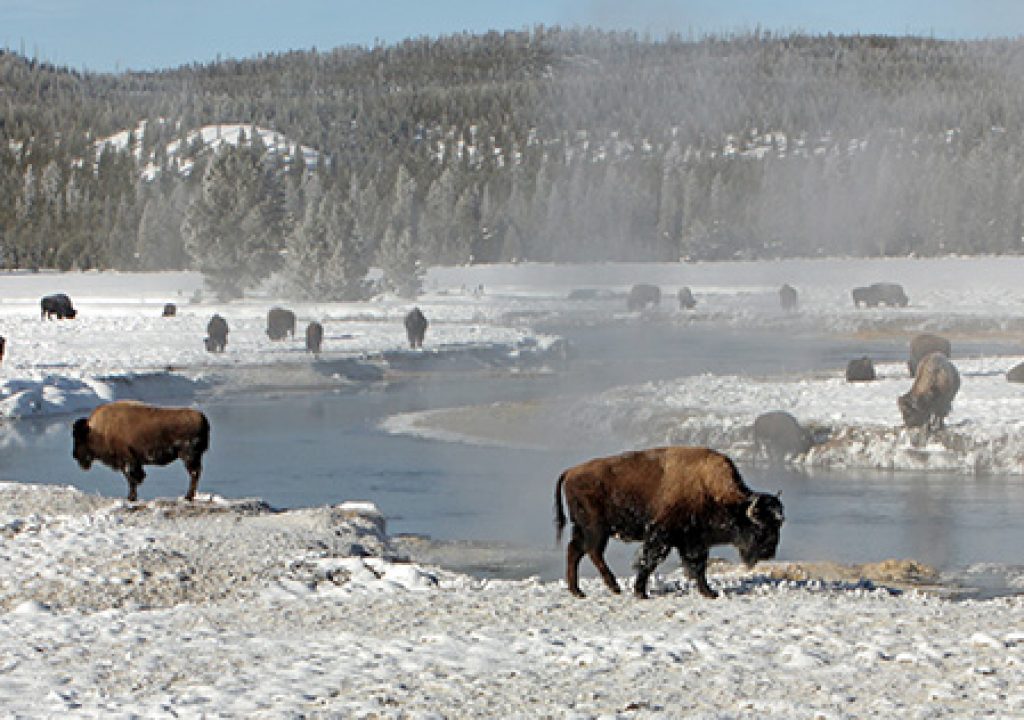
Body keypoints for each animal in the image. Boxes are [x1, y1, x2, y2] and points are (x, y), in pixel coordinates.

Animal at [71, 399, 209, 501]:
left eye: (79, 439)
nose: (75, 455)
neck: (97, 431)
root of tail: (202, 418)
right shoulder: (133, 462)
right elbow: (134, 479)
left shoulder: (127, 461)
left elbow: (132, 479)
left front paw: (131, 498)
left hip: (189, 457)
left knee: (194, 474)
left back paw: (188, 497)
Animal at [552, 448, 782, 598]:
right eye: (761, 526)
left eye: (778, 524)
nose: (769, 552)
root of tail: (570, 472)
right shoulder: (661, 536)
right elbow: (649, 561)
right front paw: (640, 592)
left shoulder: (693, 541)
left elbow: (698, 566)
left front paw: (709, 592)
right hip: (596, 530)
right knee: (592, 552)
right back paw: (614, 587)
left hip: (584, 529)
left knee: (575, 551)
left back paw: (578, 591)